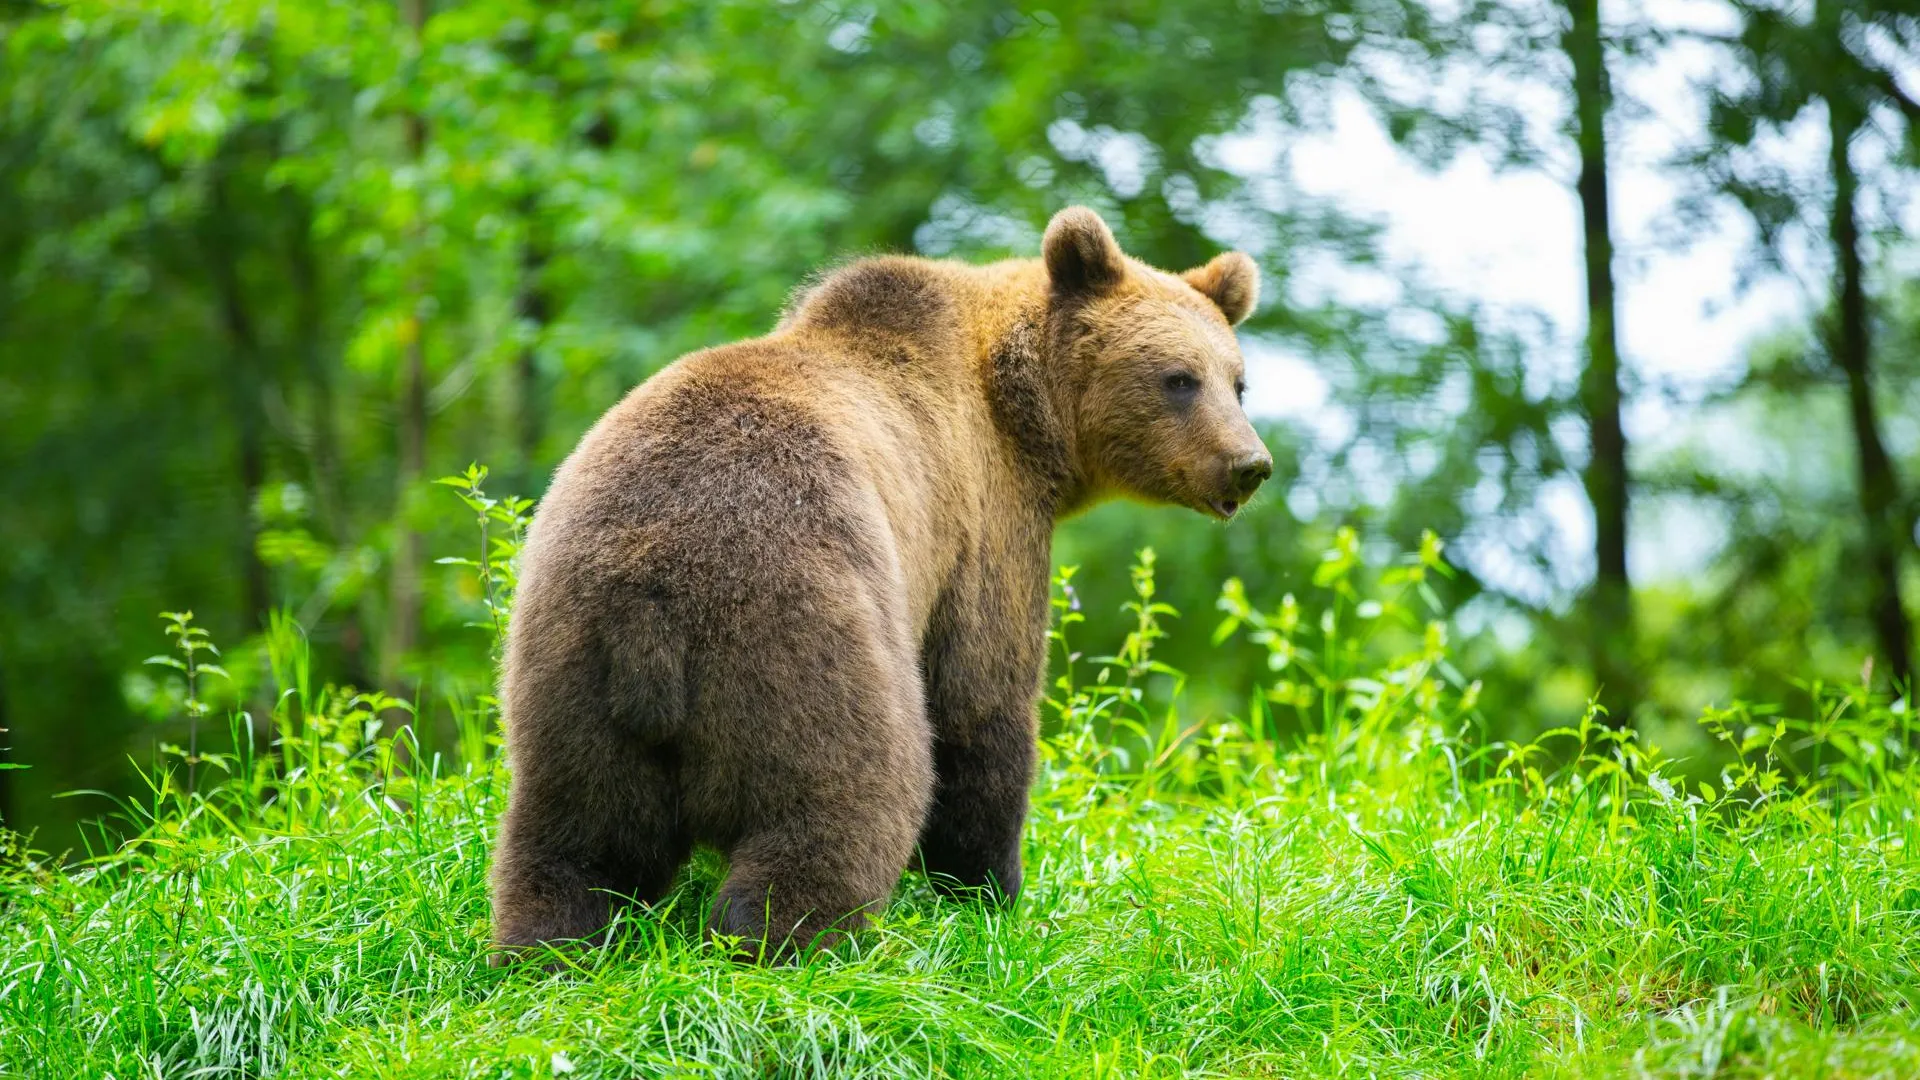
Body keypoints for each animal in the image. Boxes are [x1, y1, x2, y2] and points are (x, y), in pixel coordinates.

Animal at [491, 203, 1274, 957]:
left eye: (1237, 381)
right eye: (1178, 378)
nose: (1249, 464)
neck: (1025, 416)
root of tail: (651, 596)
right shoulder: (983, 525)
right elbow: (981, 704)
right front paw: (993, 892)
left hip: (569, 663)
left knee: (576, 840)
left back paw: (550, 950)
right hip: (796, 621)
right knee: (852, 791)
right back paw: (789, 944)